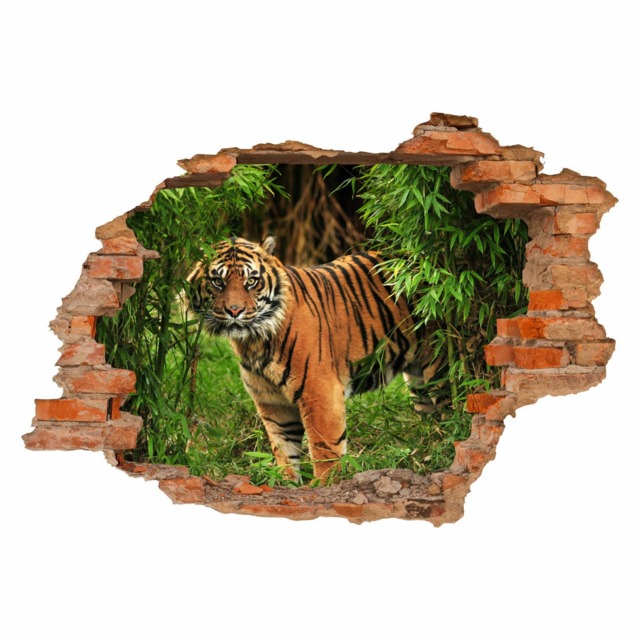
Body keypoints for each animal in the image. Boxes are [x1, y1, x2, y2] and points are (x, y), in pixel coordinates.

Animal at [186, 236, 439, 483]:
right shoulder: (272, 401)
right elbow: (284, 449)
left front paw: (325, 484)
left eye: (251, 281)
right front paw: (285, 483)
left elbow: (325, 449)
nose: (234, 311)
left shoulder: (320, 392)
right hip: (419, 382)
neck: (253, 341)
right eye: (217, 282)